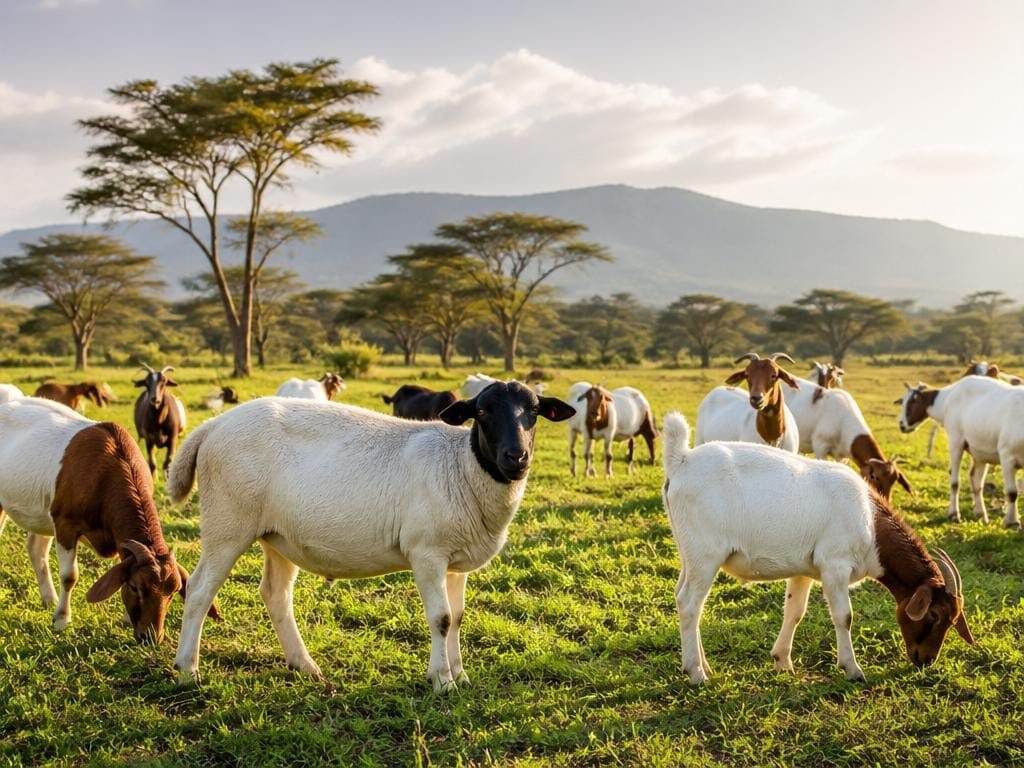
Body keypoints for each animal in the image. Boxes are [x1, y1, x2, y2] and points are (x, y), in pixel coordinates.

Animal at [0, 398, 215, 641]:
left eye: (173, 592)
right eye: (135, 587)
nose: (151, 637)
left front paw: (125, 618)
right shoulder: (65, 524)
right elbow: (69, 576)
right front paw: (62, 619)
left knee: (36, 550)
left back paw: (49, 599)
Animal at [166, 382, 575, 690]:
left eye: (533, 411)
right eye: (484, 412)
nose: (516, 457)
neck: (461, 465)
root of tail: (212, 426)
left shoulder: (457, 561)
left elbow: (458, 618)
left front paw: (460, 674)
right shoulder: (427, 553)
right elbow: (441, 618)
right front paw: (442, 681)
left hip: (276, 535)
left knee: (275, 594)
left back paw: (305, 665)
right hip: (227, 522)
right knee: (199, 590)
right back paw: (187, 669)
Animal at [661, 411, 975, 685]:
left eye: (953, 620)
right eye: (934, 615)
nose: (926, 660)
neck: (870, 523)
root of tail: (681, 461)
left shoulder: (804, 570)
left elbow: (795, 612)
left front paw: (782, 662)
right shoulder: (835, 565)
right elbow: (844, 616)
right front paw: (852, 669)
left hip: (689, 553)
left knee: (682, 596)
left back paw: (704, 666)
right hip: (705, 554)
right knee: (690, 603)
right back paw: (696, 673)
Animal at [785, 371, 911, 499]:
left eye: (893, 482)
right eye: (874, 476)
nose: (883, 499)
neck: (843, 422)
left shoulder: (842, 457)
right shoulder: (820, 446)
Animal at [897, 376, 1024, 527]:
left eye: (912, 402)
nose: (901, 425)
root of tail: (952, 391)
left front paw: (1012, 521)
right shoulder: (1007, 455)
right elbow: (1012, 492)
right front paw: (1012, 522)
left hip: (980, 450)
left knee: (976, 480)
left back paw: (980, 514)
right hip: (956, 439)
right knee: (955, 481)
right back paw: (954, 514)